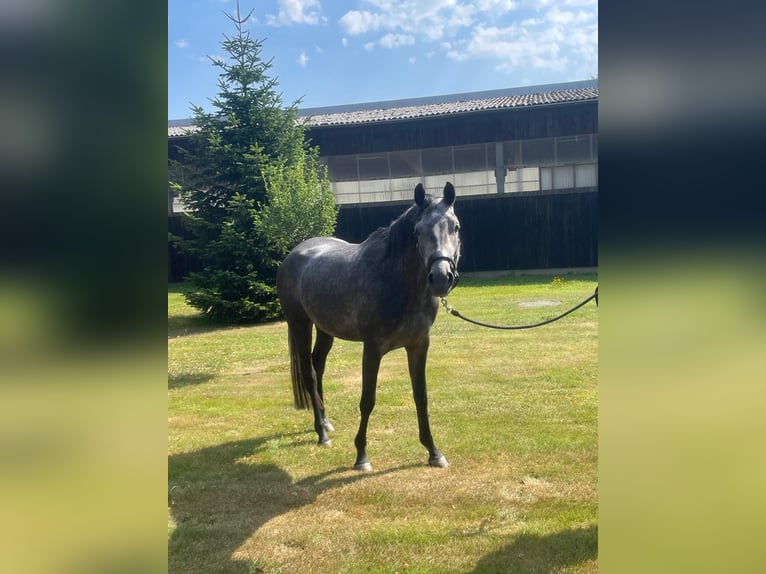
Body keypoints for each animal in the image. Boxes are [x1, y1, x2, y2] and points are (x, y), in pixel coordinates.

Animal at [276, 182, 461, 471]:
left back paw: (326, 422)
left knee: (318, 367)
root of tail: (292, 256)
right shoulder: (372, 348)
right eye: (417, 231)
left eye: (455, 227)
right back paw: (321, 434)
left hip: (325, 329)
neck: (396, 281)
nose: (441, 278)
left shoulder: (419, 345)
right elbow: (367, 400)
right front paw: (361, 456)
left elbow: (421, 397)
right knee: (309, 373)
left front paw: (434, 452)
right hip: (300, 324)